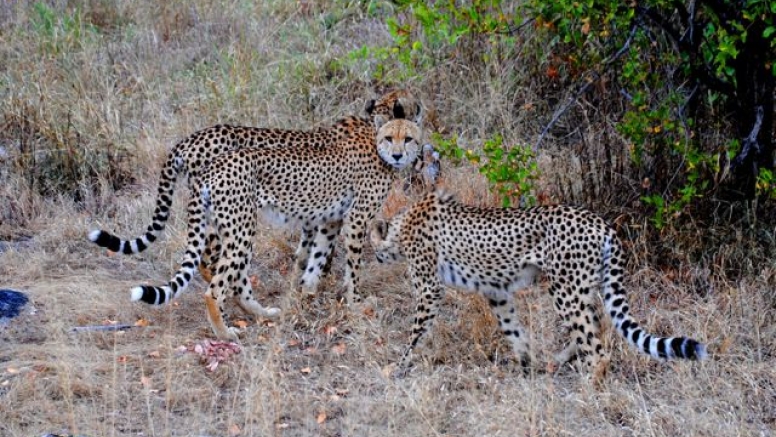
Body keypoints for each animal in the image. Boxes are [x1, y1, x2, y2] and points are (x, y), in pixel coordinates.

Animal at [130, 104, 428, 338]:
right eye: (389, 137)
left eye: (408, 138)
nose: (398, 155)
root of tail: (210, 163)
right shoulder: (355, 219)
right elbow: (352, 266)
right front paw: (355, 301)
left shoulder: (330, 220)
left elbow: (316, 257)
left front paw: (307, 292)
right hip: (240, 229)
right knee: (216, 284)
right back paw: (225, 332)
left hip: (226, 225)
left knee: (231, 276)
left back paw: (264, 313)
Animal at [372, 191, 708, 378]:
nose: (373, 256)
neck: (401, 225)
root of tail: (601, 223)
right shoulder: (496, 292)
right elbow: (512, 329)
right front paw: (527, 362)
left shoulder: (430, 289)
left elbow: (415, 332)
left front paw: (398, 366)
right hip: (581, 288)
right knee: (596, 325)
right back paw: (558, 360)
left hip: (565, 289)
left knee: (596, 346)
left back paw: (589, 389)